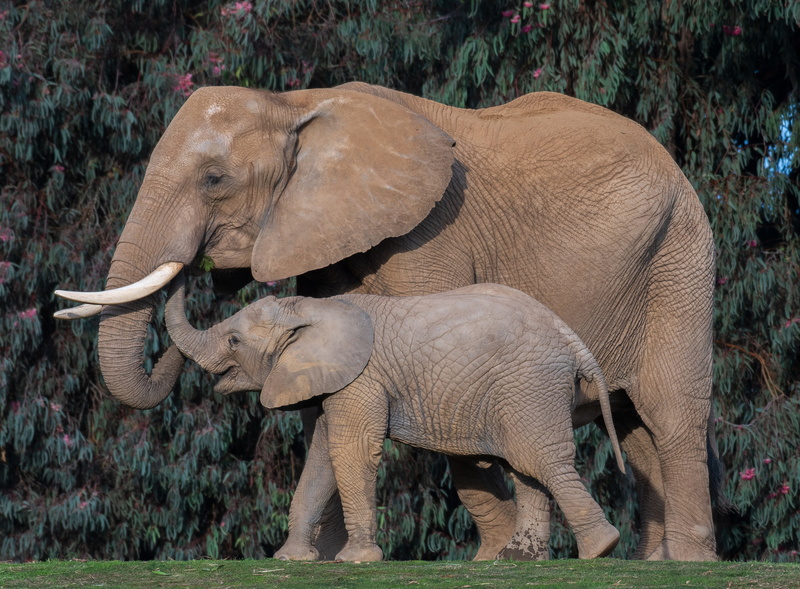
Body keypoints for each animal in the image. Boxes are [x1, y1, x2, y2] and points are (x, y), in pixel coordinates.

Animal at [164, 272, 626, 561]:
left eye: (233, 340)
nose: (193, 266)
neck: (312, 308)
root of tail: (572, 338)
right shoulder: (338, 382)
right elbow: (321, 459)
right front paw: (291, 559)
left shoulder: (361, 380)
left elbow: (350, 452)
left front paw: (355, 561)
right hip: (524, 394)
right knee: (528, 470)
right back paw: (518, 561)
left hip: (530, 388)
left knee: (543, 462)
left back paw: (600, 549)